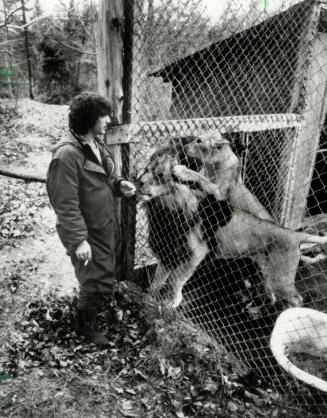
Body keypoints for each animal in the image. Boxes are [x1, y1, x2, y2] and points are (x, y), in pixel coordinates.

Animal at [137, 134, 327, 306]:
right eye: (146, 169)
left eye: (159, 174)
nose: (139, 183)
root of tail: (293, 234)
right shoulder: (167, 252)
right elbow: (157, 281)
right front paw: (150, 299)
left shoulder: (197, 252)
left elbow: (175, 280)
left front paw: (172, 302)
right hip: (267, 273)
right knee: (272, 294)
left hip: (280, 279)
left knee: (297, 299)